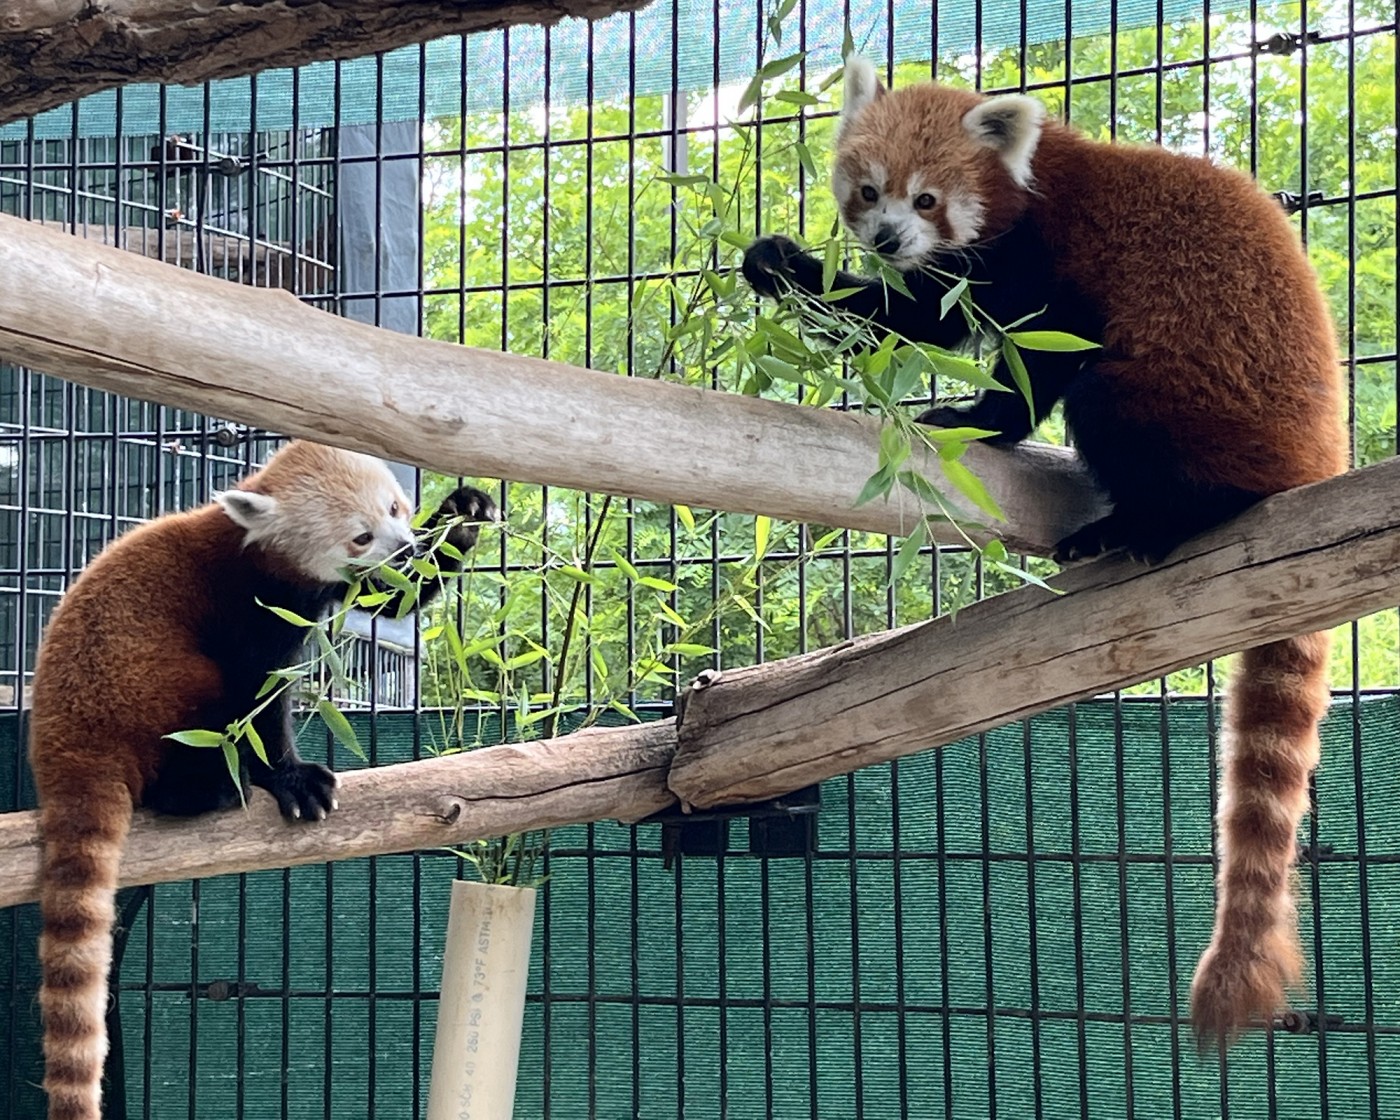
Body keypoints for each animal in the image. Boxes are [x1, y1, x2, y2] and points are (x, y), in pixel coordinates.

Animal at [25, 442, 498, 1114]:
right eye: (360, 535)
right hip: (150, 685)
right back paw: (208, 789)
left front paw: (462, 516)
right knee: (201, 716)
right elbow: (260, 700)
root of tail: (60, 744)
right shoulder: (252, 606)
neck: (257, 550)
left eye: (396, 509)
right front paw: (293, 778)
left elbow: (387, 603)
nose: (405, 548)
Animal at [744, 56, 1344, 1047]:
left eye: (928, 198)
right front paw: (781, 268)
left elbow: (1033, 351)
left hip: (1190, 398)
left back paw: (1141, 525)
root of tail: (1321, 459)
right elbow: (922, 316)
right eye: (869, 190)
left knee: (1116, 402)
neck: (1032, 183)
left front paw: (979, 418)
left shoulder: (1052, 262)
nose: (888, 235)